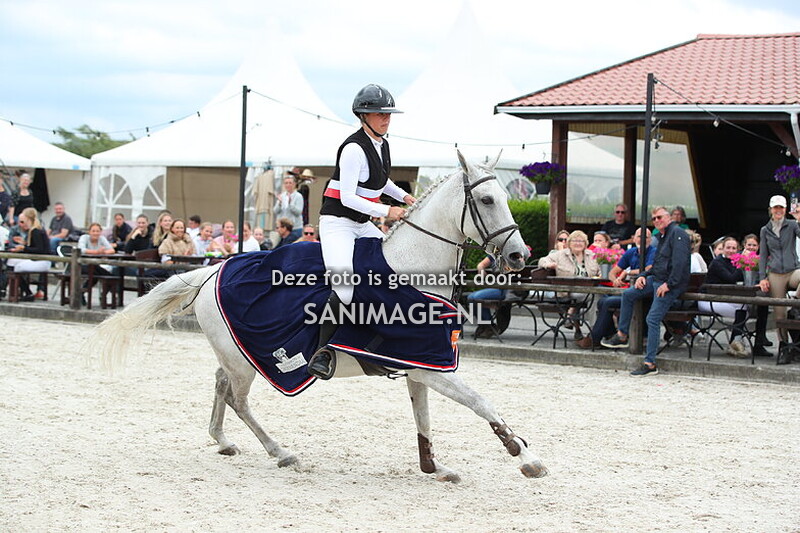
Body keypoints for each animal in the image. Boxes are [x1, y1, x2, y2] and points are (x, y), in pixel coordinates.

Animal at [89, 150, 548, 482]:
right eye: (487, 200)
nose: (518, 256)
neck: (411, 273)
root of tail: (212, 270)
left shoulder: (421, 365)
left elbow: (424, 418)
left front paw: (434, 467)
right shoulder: (430, 368)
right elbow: (481, 402)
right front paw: (525, 456)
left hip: (236, 355)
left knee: (221, 384)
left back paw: (221, 441)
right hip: (245, 360)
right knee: (238, 399)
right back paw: (280, 452)